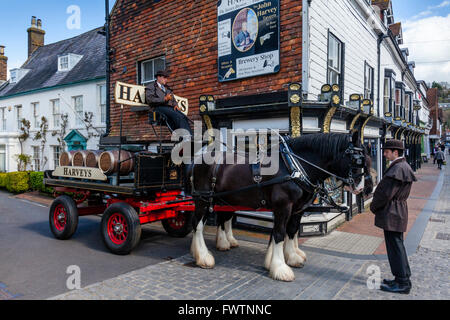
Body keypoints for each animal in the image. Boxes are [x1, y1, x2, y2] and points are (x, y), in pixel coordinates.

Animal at [186, 131, 372, 282]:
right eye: (357, 159)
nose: (363, 188)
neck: (293, 165)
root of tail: (198, 158)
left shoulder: (297, 209)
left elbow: (291, 231)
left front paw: (291, 258)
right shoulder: (283, 207)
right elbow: (279, 233)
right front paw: (280, 268)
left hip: (223, 200)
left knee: (222, 219)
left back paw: (221, 244)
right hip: (203, 199)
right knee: (197, 224)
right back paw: (203, 257)